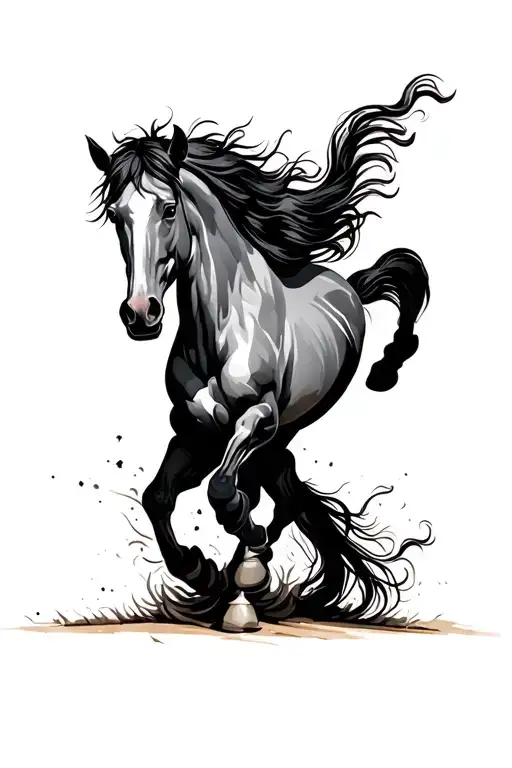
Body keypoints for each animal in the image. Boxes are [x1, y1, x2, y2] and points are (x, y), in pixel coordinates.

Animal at [86, 74, 454, 632]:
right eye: (114, 215)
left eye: (168, 208)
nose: (140, 313)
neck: (218, 328)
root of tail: (348, 287)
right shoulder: (193, 432)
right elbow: (157, 498)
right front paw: (200, 571)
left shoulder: (257, 417)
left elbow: (223, 492)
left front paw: (242, 562)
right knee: (281, 481)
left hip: (288, 423)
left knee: (271, 487)